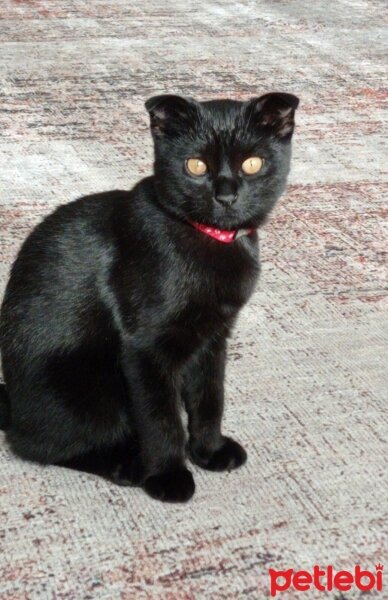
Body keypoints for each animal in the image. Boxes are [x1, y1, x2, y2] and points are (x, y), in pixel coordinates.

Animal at [0, 94, 298, 502]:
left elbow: (210, 398)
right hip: (91, 389)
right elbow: (162, 419)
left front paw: (209, 451)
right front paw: (169, 476)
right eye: (195, 165)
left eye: (252, 164)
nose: (226, 195)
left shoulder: (213, 339)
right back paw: (128, 465)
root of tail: (11, 403)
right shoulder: (144, 348)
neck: (209, 241)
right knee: (41, 445)